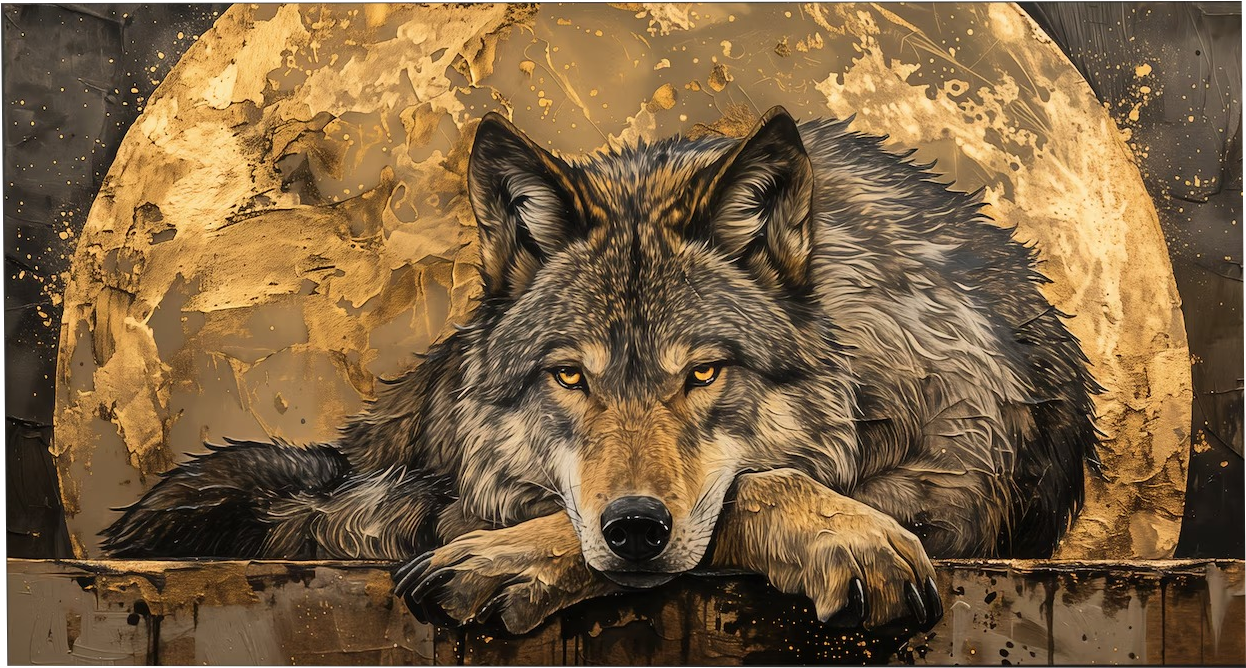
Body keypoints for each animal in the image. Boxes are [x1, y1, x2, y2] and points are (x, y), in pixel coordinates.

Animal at [102, 106, 1100, 635]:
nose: (635, 529)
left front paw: (850, 536)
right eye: (570, 378)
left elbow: (752, 486)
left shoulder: (963, 492)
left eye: (704, 374)